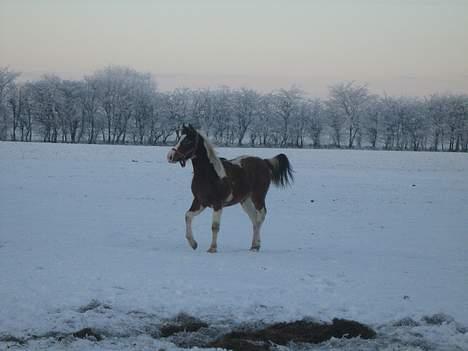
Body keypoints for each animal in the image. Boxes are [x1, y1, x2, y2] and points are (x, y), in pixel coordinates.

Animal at [167, 125, 292, 254]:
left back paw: (256, 246)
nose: (170, 156)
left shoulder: (217, 204)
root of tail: (264, 162)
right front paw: (193, 243)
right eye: (179, 138)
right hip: (245, 201)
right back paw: (253, 245)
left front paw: (212, 248)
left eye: (187, 141)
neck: (209, 175)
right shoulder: (200, 202)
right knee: (254, 219)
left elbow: (215, 226)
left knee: (260, 217)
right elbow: (188, 216)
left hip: (258, 197)